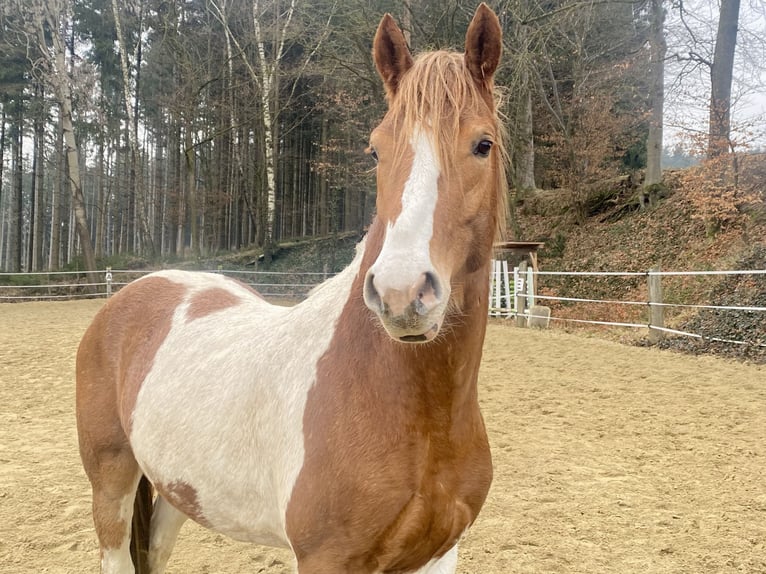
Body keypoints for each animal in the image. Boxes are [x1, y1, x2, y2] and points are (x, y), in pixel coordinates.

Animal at [76, 3, 510, 572]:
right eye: (375, 151)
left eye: (483, 145)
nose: (401, 293)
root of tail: (131, 293)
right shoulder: (325, 557)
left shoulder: (439, 553)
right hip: (112, 485)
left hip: (177, 494)